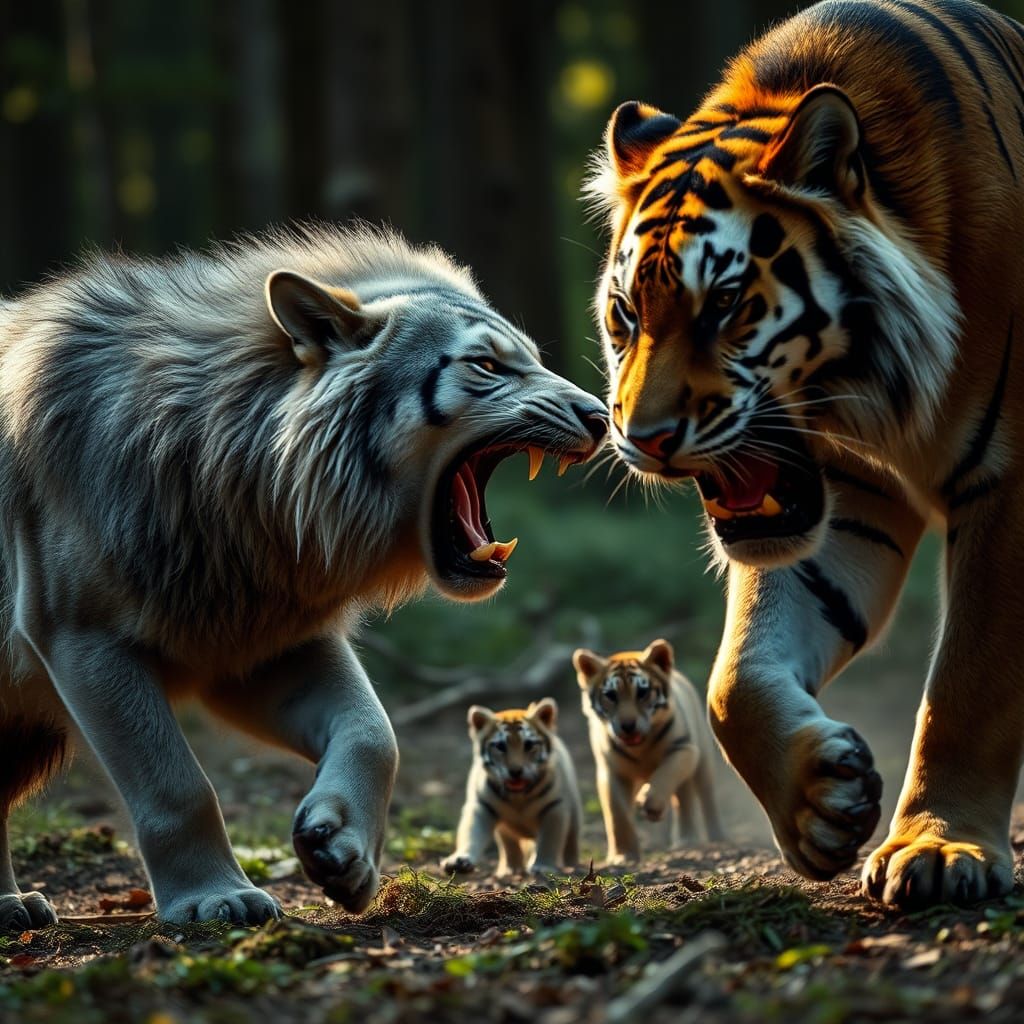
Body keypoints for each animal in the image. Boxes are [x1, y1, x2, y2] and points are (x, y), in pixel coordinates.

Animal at [441, 698, 582, 877]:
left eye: (529, 745)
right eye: (500, 746)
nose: (515, 771)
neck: (518, 796)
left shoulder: (555, 807)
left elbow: (549, 840)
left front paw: (543, 866)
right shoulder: (481, 807)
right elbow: (471, 834)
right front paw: (459, 861)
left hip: (574, 816)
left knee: (570, 844)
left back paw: (573, 866)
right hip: (505, 830)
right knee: (509, 845)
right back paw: (509, 870)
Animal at [574, 639, 723, 864]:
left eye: (642, 693)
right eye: (611, 696)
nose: (628, 725)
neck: (640, 748)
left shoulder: (684, 748)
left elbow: (665, 774)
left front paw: (650, 805)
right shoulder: (612, 771)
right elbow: (617, 815)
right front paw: (623, 855)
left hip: (703, 763)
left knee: (707, 799)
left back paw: (716, 838)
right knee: (685, 800)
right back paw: (687, 839)